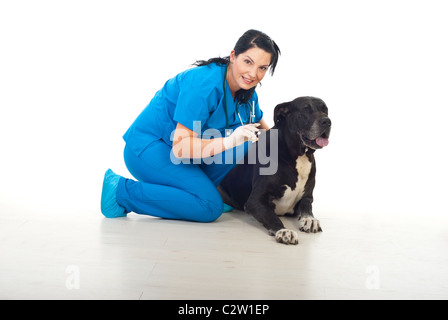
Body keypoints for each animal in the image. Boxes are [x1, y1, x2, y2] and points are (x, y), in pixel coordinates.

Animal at [219, 96, 330, 244]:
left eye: (325, 110)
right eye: (306, 109)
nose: (327, 121)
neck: (298, 156)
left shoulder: (307, 196)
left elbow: (307, 207)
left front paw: (309, 219)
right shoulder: (255, 200)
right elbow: (271, 216)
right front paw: (283, 230)